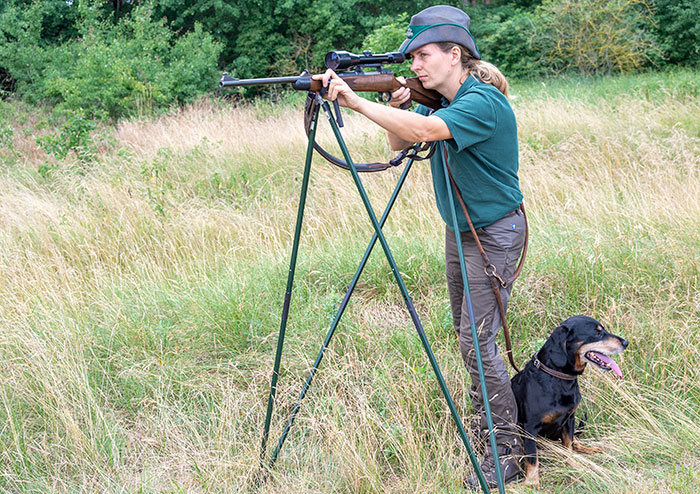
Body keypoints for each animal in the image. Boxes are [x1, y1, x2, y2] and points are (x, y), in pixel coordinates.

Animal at [508, 314, 628, 488]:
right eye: (597, 333)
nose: (626, 343)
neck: (558, 378)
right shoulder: (530, 427)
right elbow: (532, 458)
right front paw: (532, 482)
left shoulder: (569, 419)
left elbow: (568, 448)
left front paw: (574, 467)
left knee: (575, 442)